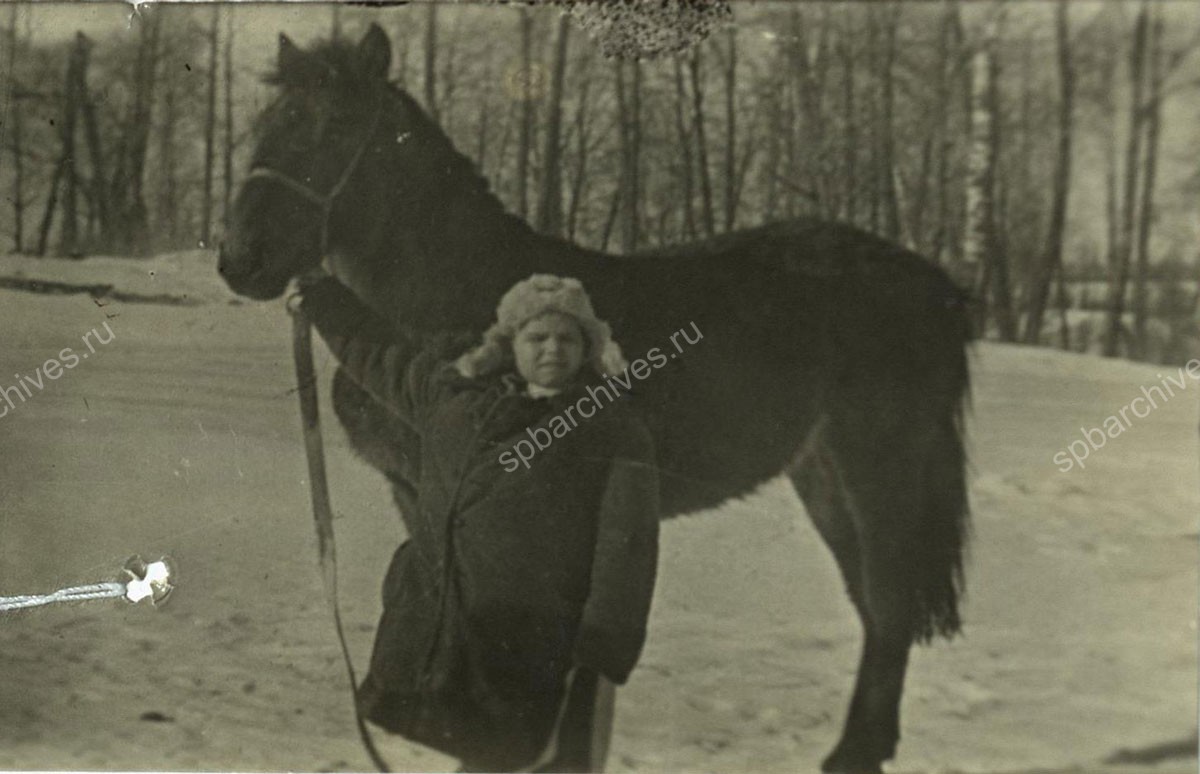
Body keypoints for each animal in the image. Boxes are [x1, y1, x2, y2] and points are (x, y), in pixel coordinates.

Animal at [218, 25, 974, 772]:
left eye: (336, 126)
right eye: (266, 125)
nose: (238, 260)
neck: (459, 298)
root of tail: (934, 285)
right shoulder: (417, 493)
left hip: (878, 471)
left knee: (889, 603)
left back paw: (853, 754)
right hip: (822, 476)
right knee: (873, 607)